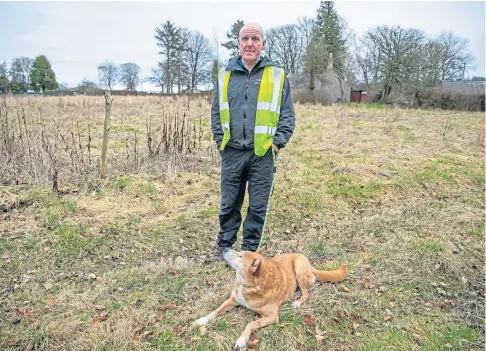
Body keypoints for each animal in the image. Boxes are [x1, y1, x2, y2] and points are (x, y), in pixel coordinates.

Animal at [195, 249, 350, 350]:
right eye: (240, 252)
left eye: (240, 256)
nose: (224, 248)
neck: (250, 286)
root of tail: (310, 264)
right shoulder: (232, 300)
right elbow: (215, 311)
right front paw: (201, 320)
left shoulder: (272, 317)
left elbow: (251, 324)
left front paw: (242, 340)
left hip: (299, 269)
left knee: (306, 294)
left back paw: (297, 302)